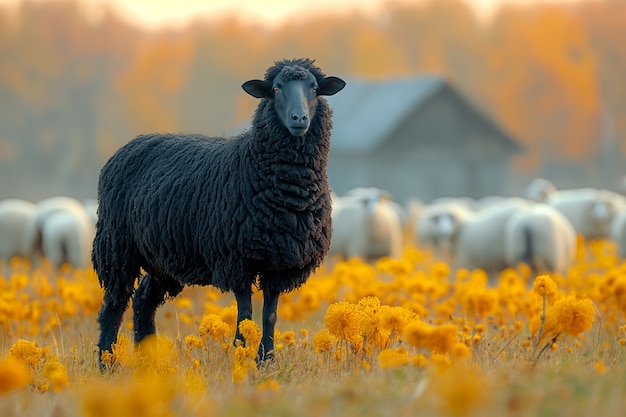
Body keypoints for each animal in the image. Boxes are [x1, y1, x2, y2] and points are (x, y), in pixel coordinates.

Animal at [92, 59, 346, 368]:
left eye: (315, 89)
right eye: (276, 89)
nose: (299, 119)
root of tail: (135, 142)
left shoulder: (279, 261)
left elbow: (270, 315)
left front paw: (266, 360)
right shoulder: (238, 259)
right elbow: (245, 314)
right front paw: (242, 354)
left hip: (163, 257)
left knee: (143, 301)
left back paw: (149, 360)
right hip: (117, 246)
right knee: (114, 305)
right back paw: (106, 362)